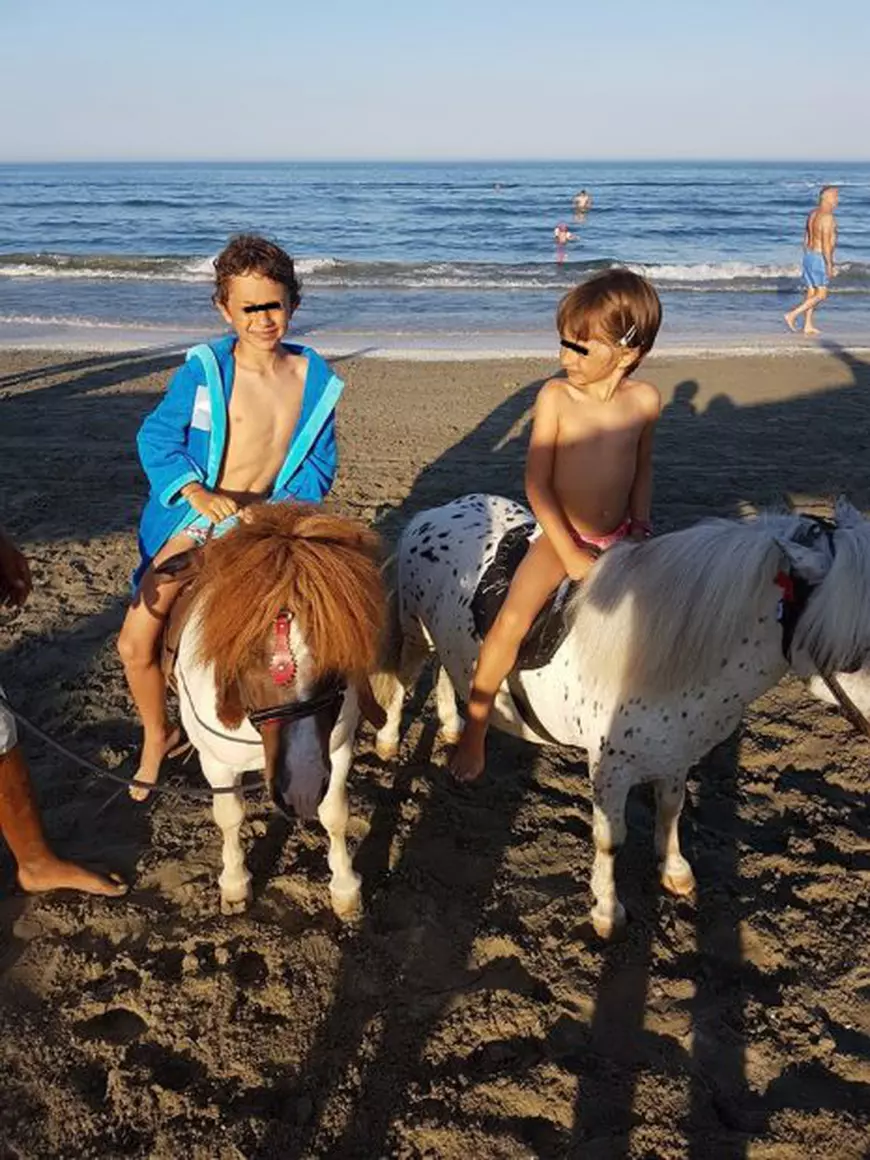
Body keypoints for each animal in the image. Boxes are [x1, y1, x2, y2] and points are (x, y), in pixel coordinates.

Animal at [171, 503, 385, 917]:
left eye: (336, 652)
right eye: (246, 651)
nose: (301, 788)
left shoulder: (338, 751)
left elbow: (335, 813)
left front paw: (345, 888)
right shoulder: (216, 763)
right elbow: (229, 816)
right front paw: (235, 885)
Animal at [374, 493, 870, 938]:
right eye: (854, 644)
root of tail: (435, 512)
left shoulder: (677, 754)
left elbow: (671, 809)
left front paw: (674, 869)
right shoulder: (610, 769)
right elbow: (610, 839)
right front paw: (607, 912)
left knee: (448, 670)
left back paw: (455, 729)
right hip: (415, 630)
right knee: (405, 678)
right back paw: (390, 741)